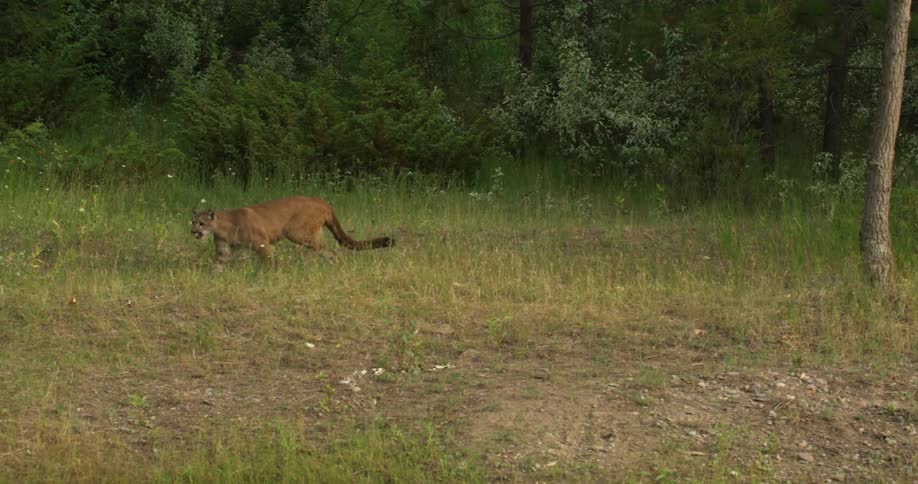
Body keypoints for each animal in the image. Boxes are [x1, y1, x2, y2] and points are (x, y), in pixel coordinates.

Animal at [191, 196, 393, 270]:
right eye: (192, 222)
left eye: (201, 223)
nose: (193, 232)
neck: (223, 226)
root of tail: (323, 201)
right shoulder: (225, 250)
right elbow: (218, 262)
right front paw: (213, 278)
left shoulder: (262, 243)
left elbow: (268, 260)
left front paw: (269, 275)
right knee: (328, 250)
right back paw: (333, 266)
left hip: (293, 231)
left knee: (318, 247)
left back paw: (307, 263)